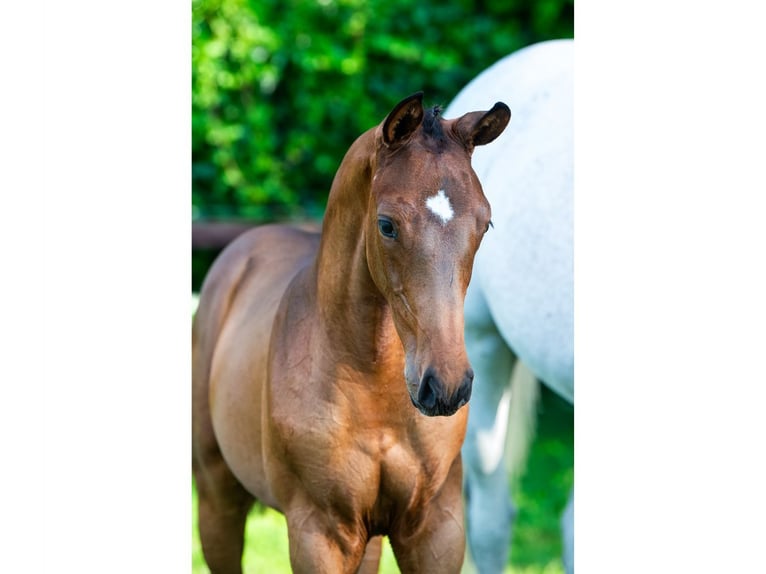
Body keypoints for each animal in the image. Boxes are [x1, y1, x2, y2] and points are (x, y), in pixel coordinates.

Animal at [192, 92, 511, 573]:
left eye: (485, 224)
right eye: (387, 224)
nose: (446, 386)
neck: (374, 386)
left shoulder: (436, 528)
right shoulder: (320, 533)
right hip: (217, 498)